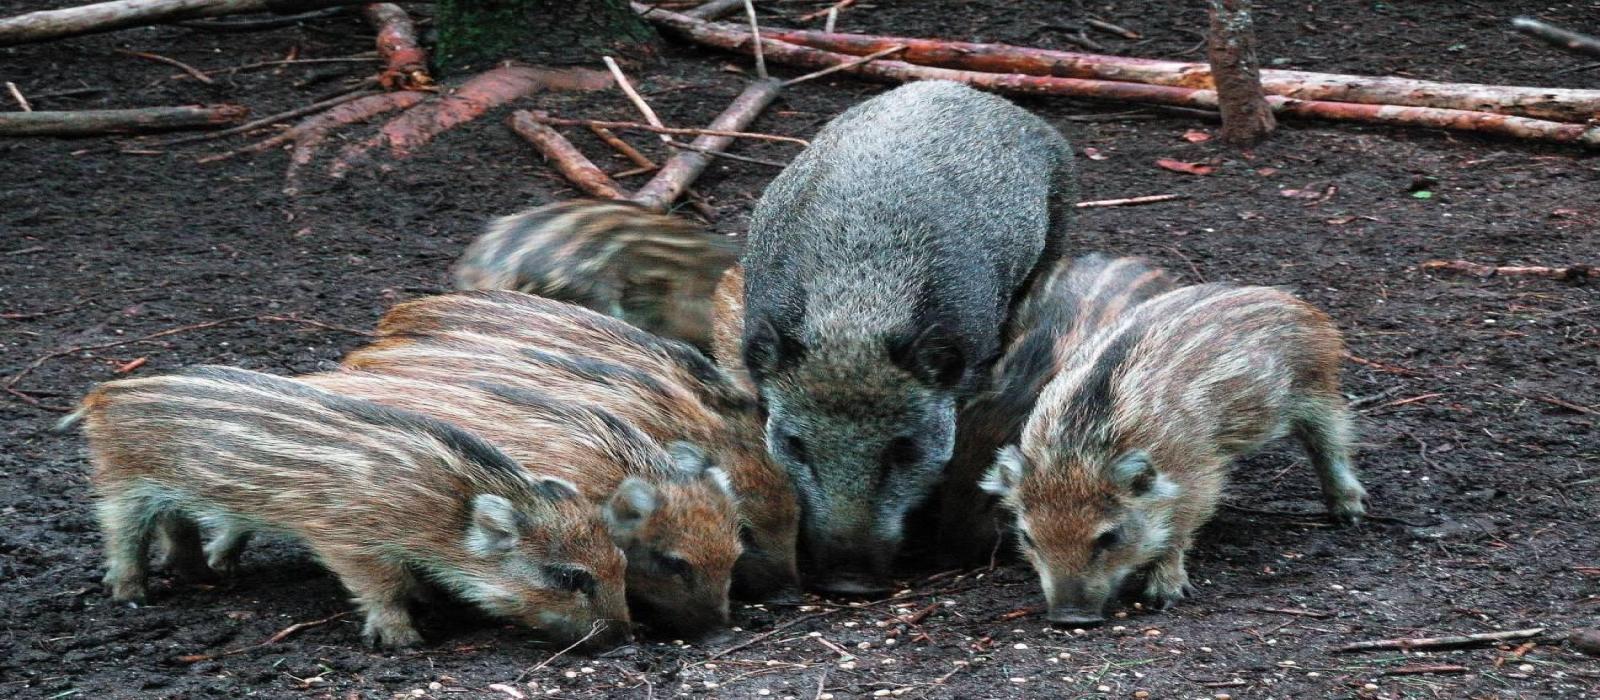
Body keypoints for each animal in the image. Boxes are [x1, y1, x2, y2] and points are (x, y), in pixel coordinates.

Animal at [61, 365, 631, 650]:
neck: (443, 507)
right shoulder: (346, 538)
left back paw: (203, 574)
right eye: (568, 577)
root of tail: (103, 392)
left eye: (622, 564)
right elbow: (384, 588)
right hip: (121, 477)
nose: (625, 640)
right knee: (120, 531)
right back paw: (132, 595)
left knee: (177, 524)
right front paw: (403, 642)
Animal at [981, 284, 1369, 626]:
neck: (1076, 453)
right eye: (1028, 537)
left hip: (1317, 386)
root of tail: (1297, 303)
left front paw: (1165, 595)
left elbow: (1176, 531)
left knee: (1331, 440)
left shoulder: (1197, 477)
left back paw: (1348, 513)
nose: (1070, 619)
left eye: (1110, 537)